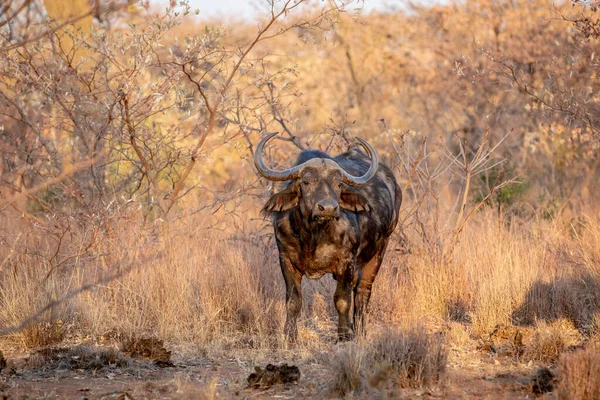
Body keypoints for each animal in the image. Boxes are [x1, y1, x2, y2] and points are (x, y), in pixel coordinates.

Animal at [254, 133, 404, 340]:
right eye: (306, 182)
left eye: (338, 184)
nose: (328, 208)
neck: (313, 236)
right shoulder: (286, 259)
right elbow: (293, 301)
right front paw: (290, 336)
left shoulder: (346, 262)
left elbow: (342, 300)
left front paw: (344, 335)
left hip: (380, 250)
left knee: (362, 292)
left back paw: (359, 331)